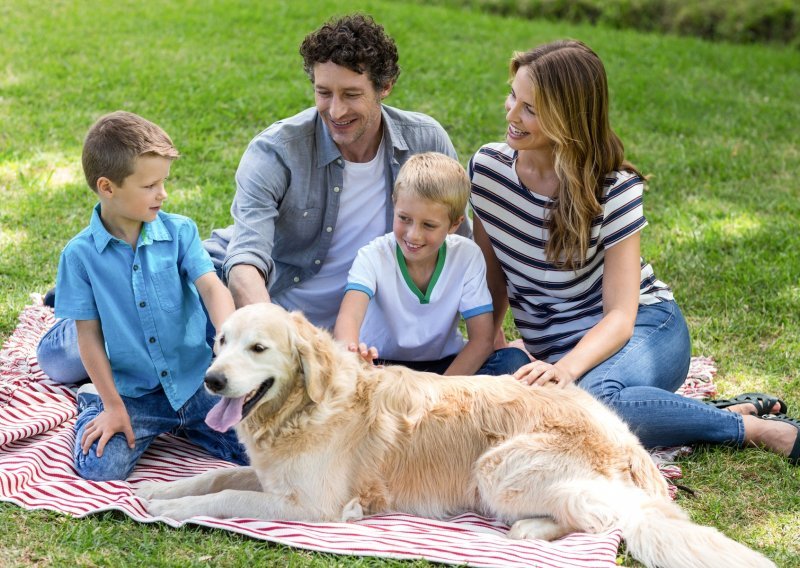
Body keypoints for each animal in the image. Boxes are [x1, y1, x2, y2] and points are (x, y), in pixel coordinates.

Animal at [138, 304, 776, 568]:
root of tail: (625, 439)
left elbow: (225, 495)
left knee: (606, 519)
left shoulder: (313, 506)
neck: (304, 407)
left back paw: (532, 529)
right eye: (220, 342)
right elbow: (215, 474)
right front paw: (157, 492)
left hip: (496, 465)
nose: (212, 379)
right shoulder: (272, 476)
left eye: (258, 348)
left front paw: (171, 509)